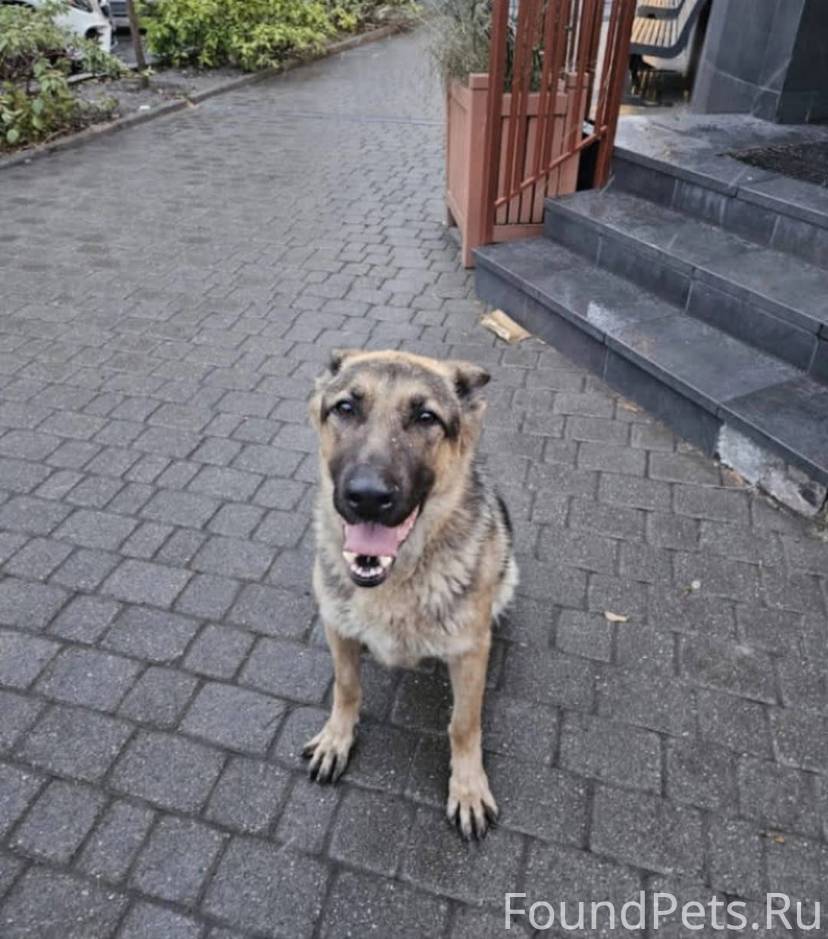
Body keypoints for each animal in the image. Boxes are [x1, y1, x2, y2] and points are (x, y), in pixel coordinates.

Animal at [304, 348, 518, 839]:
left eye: (425, 417)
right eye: (346, 407)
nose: (366, 497)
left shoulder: (469, 655)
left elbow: (464, 723)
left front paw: (467, 786)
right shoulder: (337, 629)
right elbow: (346, 687)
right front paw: (338, 737)